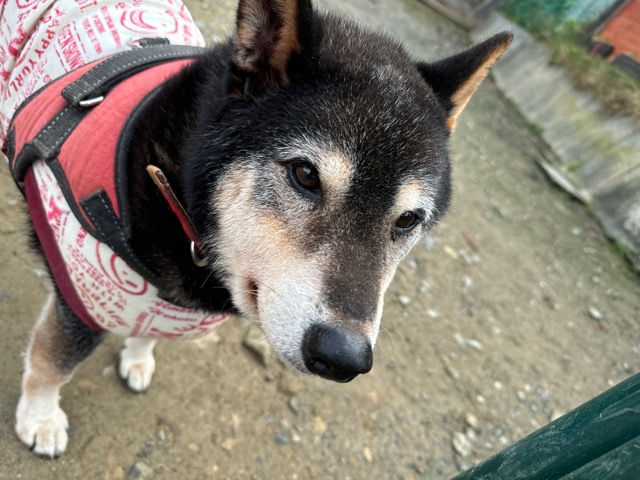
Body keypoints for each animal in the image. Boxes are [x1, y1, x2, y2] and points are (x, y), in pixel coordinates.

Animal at [0, 0, 511, 458]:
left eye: (408, 219)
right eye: (305, 175)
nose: (344, 357)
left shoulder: (168, 301)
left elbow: (153, 328)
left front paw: (139, 357)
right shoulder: (80, 293)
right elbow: (53, 362)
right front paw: (41, 420)